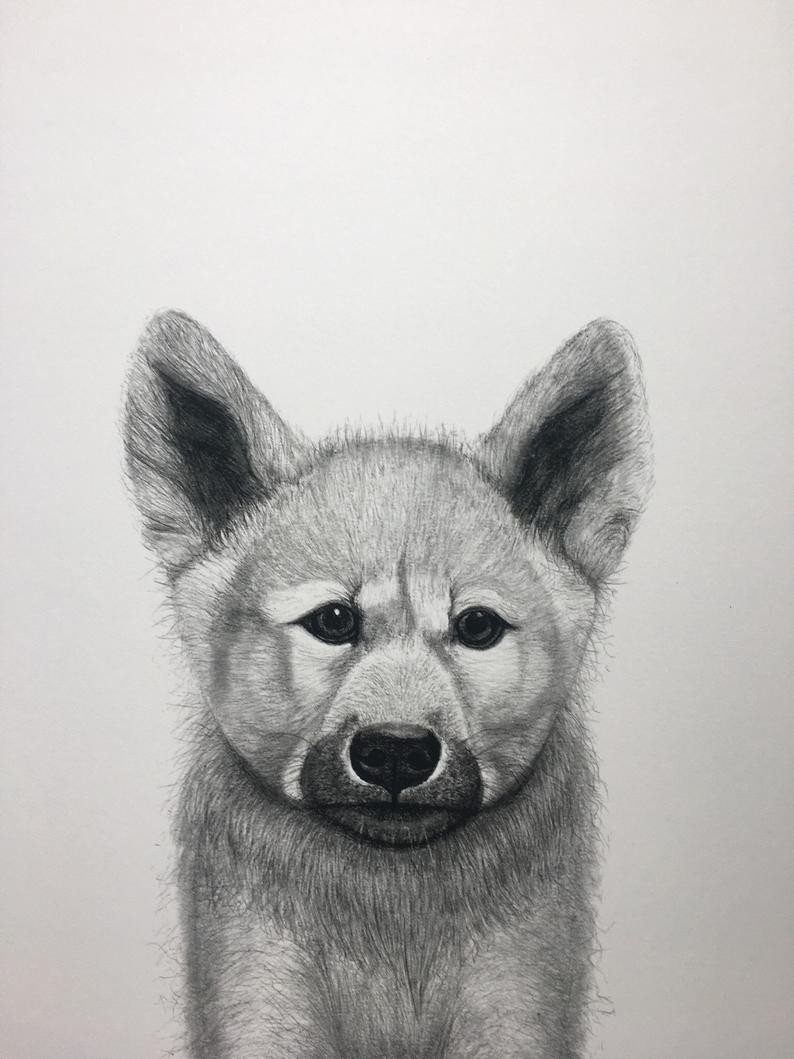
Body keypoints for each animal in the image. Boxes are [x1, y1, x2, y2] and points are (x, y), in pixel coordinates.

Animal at [123, 310, 652, 1058]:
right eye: (333, 620)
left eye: (478, 626)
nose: (397, 752)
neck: (391, 902)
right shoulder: (262, 998)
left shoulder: (514, 999)